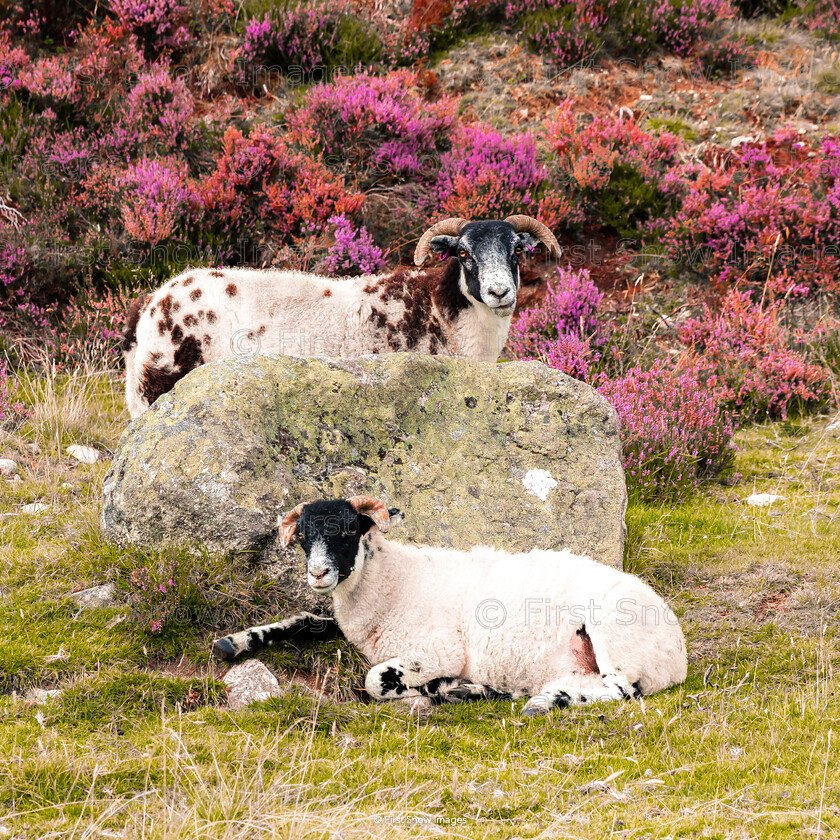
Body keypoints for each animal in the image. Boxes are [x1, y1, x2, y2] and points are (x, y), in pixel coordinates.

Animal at [121, 213, 560, 416]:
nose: (499, 291)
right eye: (464, 253)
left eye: (517, 250)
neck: (441, 311)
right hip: (154, 392)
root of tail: (150, 305)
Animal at [213, 498, 684, 716]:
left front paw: (436, 687)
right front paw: (235, 642)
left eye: (349, 530)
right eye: (304, 537)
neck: (393, 582)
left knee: (621, 691)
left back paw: (542, 700)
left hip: (615, 635)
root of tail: (677, 655)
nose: (319, 574)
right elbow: (308, 619)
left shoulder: (439, 649)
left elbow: (374, 680)